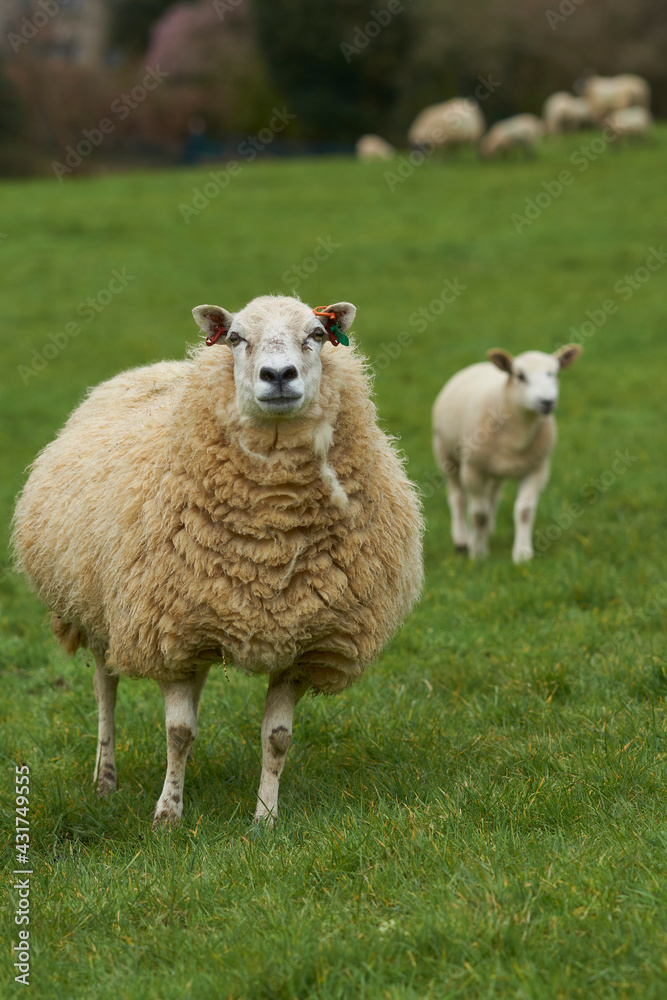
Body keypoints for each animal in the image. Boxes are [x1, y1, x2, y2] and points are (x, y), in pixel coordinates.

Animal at [434, 346, 584, 564]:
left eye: (555, 374)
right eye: (520, 376)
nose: (547, 402)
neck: (519, 435)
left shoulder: (537, 468)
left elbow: (524, 512)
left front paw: (522, 554)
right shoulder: (473, 468)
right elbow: (478, 514)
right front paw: (478, 553)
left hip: (495, 470)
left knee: (492, 497)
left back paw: (487, 530)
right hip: (445, 452)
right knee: (458, 497)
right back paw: (462, 539)